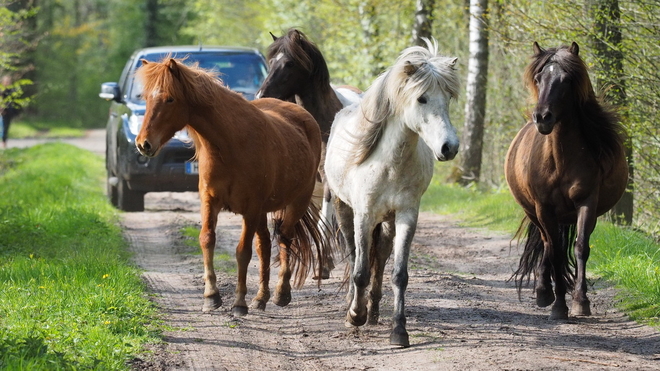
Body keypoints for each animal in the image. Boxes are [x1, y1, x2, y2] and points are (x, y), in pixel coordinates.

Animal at [135, 57, 332, 316]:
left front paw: (239, 302)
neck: (230, 144)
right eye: (146, 98)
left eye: (170, 99)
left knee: (284, 239)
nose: (143, 144)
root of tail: (303, 116)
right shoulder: (210, 202)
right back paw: (260, 297)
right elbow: (207, 239)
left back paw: (281, 293)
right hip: (263, 212)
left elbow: (243, 252)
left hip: (295, 203)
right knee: (265, 245)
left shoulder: (250, 209)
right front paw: (211, 296)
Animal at [324, 40, 458, 348]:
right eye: (421, 99)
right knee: (354, 256)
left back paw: (373, 311)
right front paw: (355, 316)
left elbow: (399, 275)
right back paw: (355, 306)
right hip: (345, 211)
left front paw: (399, 330)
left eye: (448, 97)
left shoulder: (407, 216)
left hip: (387, 222)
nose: (450, 147)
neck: (390, 163)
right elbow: (360, 271)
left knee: (381, 258)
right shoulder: (364, 215)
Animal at [506, 42, 628, 322]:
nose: (542, 117)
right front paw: (559, 305)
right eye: (538, 78)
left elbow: (580, 247)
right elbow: (556, 254)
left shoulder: (587, 203)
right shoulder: (544, 208)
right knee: (547, 245)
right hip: (536, 214)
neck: (560, 160)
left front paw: (580, 302)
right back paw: (544, 292)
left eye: (566, 80)